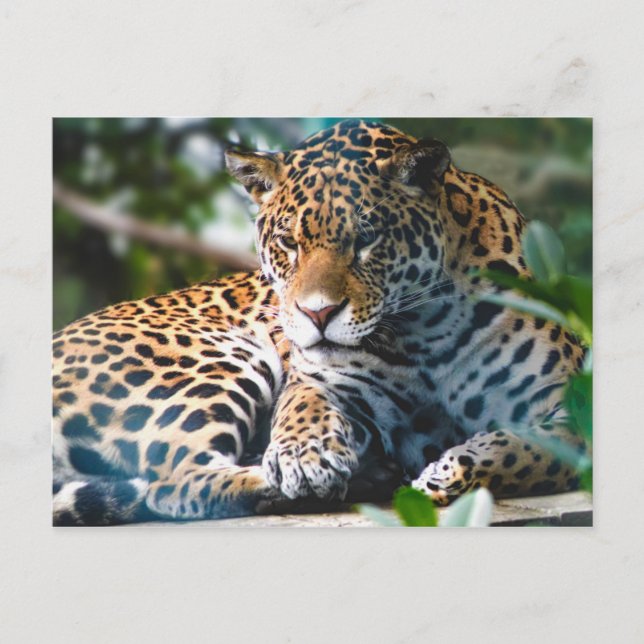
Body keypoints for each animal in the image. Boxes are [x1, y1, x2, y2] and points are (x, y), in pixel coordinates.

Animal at [52, 119, 587, 525]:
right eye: (289, 243)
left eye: (367, 239)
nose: (317, 313)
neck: (426, 332)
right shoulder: (322, 379)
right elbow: (302, 409)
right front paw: (302, 459)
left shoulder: (571, 409)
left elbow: (522, 450)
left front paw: (447, 473)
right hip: (217, 358)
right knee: (175, 481)